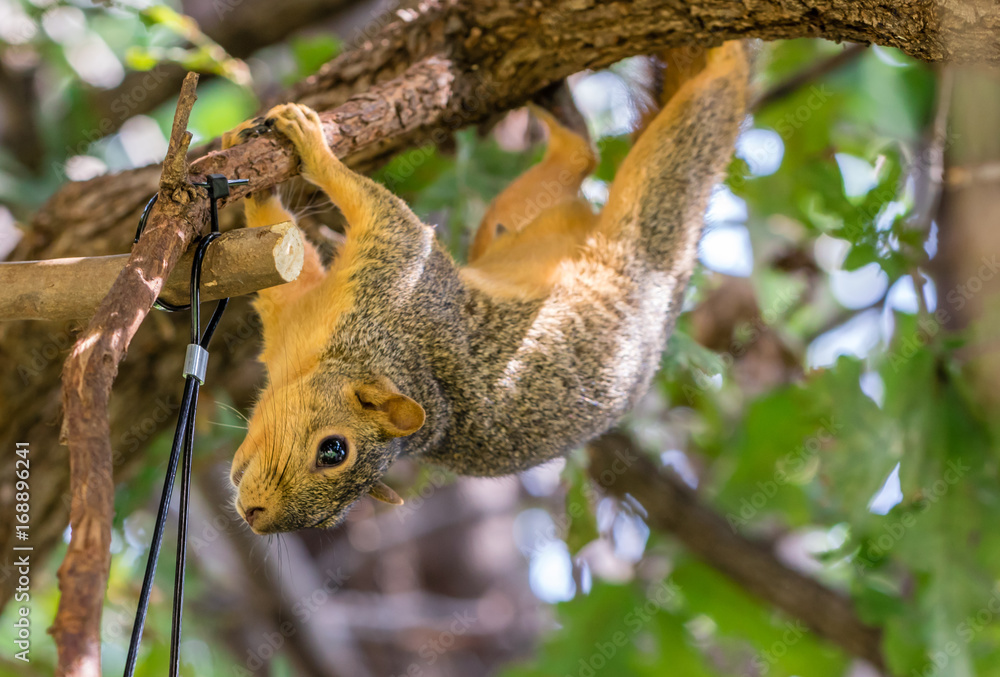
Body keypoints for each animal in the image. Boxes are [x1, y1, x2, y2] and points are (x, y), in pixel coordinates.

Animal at [224, 42, 749, 534]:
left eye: (333, 452)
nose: (256, 517)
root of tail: (660, 289)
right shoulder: (345, 289)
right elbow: (291, 253)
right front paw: (263, 178)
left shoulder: (396, 269)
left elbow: (374, 212)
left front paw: (311, 148)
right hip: (513, 221)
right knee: (582, 158)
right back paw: (558, 104)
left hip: (640, 208)